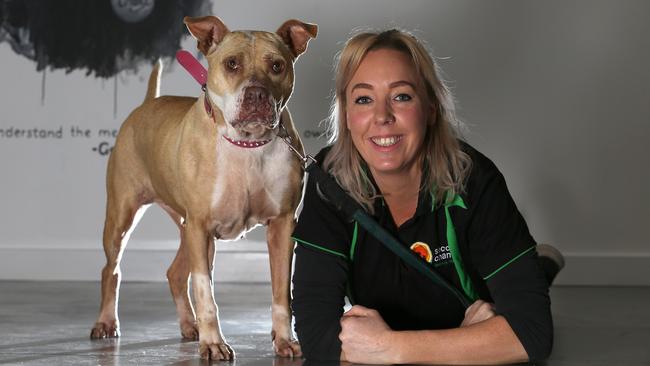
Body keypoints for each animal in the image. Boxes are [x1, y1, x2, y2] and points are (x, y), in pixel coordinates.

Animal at [88, 15, 316, 360]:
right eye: (232, 64)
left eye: (277, 66)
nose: (257, 95)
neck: (246, 145)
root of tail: (147, 104)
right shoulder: (202, 227)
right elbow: (204, 291)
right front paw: (213, 343)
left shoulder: (282, 225)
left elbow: (281, 292)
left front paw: (285, 340)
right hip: (124, 217)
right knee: (110, 270)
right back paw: (106, 322)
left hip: (187, 228)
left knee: (174, 273)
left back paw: (188, 325)